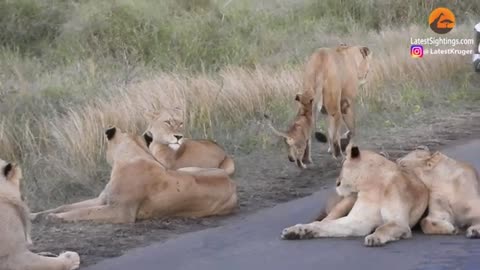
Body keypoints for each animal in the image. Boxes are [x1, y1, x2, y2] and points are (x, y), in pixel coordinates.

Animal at [31, 127, 237, 224]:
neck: (133, 154)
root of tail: (232, 184)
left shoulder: (120, 212)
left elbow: (82, 212)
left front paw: (55, 218)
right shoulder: (103, 200)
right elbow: (66, 205)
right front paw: (36, 215)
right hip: (188, 169)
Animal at [280, 146, 430, 247]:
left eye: (342, 165)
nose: (337, 183)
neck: (373, 185)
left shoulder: (400, 222)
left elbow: (383, 227)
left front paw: (374, 237)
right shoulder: (358, 221)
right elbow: (328, 225)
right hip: (347, 200)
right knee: (322, 221)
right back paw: (297, 230)